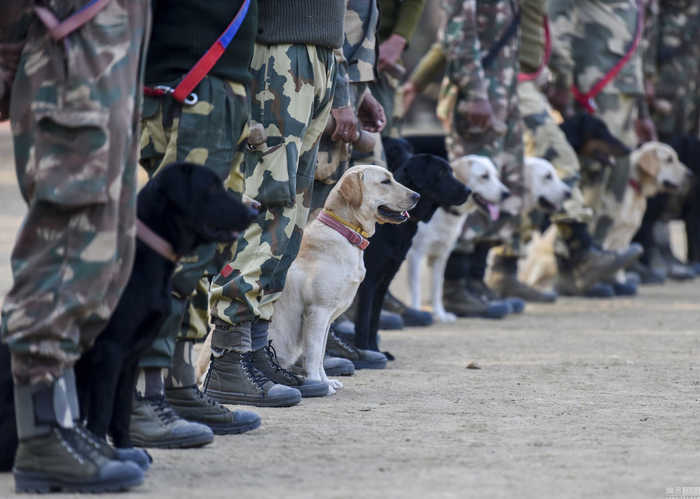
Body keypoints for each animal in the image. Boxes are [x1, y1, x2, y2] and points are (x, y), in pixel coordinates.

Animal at [74, 163, 256, 450]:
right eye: (211, 187)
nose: (254, 212)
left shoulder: (131, 357)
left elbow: (121, 410)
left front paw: (128, 449)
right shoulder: (110, 351)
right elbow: (103, 412)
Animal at [356, 139, 470, 354]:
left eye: (451, 171)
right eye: (441, 172)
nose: (469, 191)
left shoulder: (383, 281)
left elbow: (374, 321)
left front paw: (375, 351)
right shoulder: (368, 281)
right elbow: (364, 322)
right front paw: (365, 353)